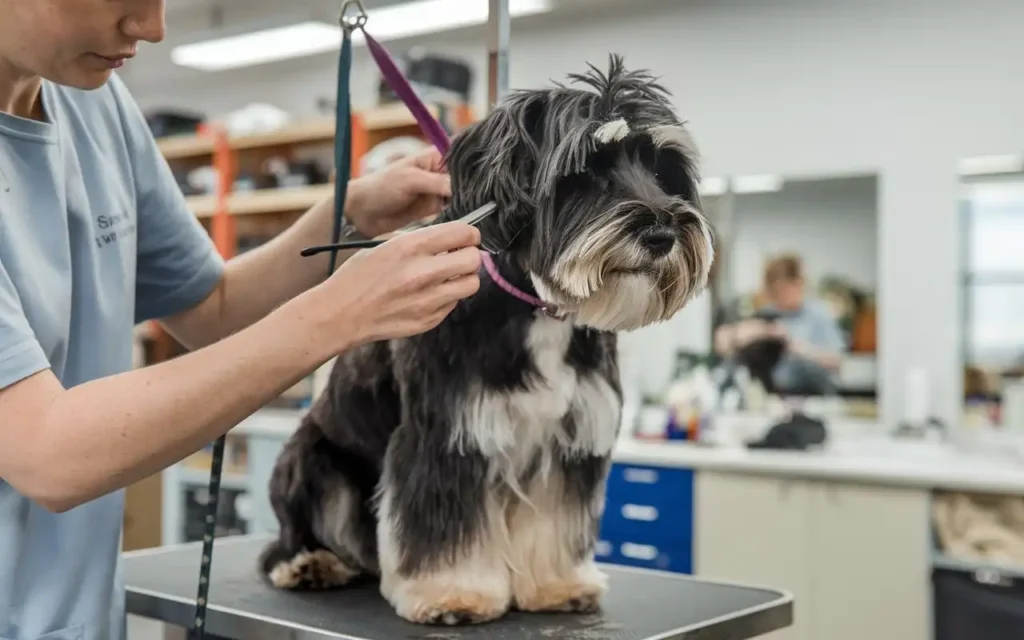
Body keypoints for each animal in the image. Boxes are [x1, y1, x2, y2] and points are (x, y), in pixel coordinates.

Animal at [260, 54, 716, 622]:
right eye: (585, 171)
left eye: (662, 170)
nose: (661, 234)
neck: (538, 310)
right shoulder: (447, 434)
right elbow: (442, 529)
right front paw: (451, 593)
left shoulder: (569, 441)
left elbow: (554, 523)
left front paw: (559, 585)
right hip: (314, 463)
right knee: (288, 538)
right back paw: (309, 562)